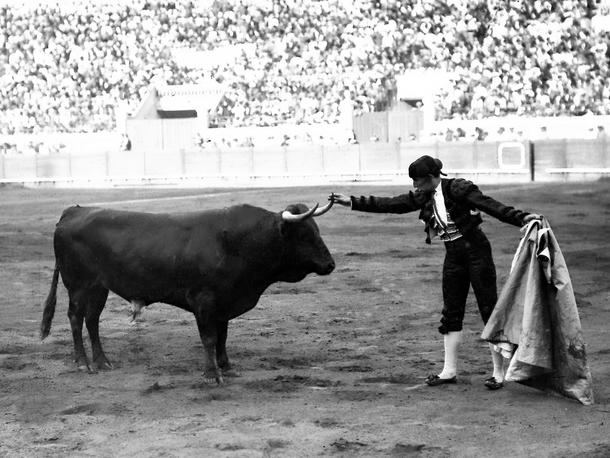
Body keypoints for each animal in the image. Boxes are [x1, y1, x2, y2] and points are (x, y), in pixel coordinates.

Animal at [40, 202, 334, 384]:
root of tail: (72, 211)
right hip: (79, 285)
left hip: (99, 287)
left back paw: (102, 361)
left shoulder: (224, 303)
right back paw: (83, 363)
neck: (239, 242)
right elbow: (209, 338)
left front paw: (226, 366)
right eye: (305, 235)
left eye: (317, 231)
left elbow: (223, 337)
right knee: (76, 318)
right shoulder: (204, 302)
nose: (330, 264)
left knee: (92, 320)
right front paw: (212, 374)